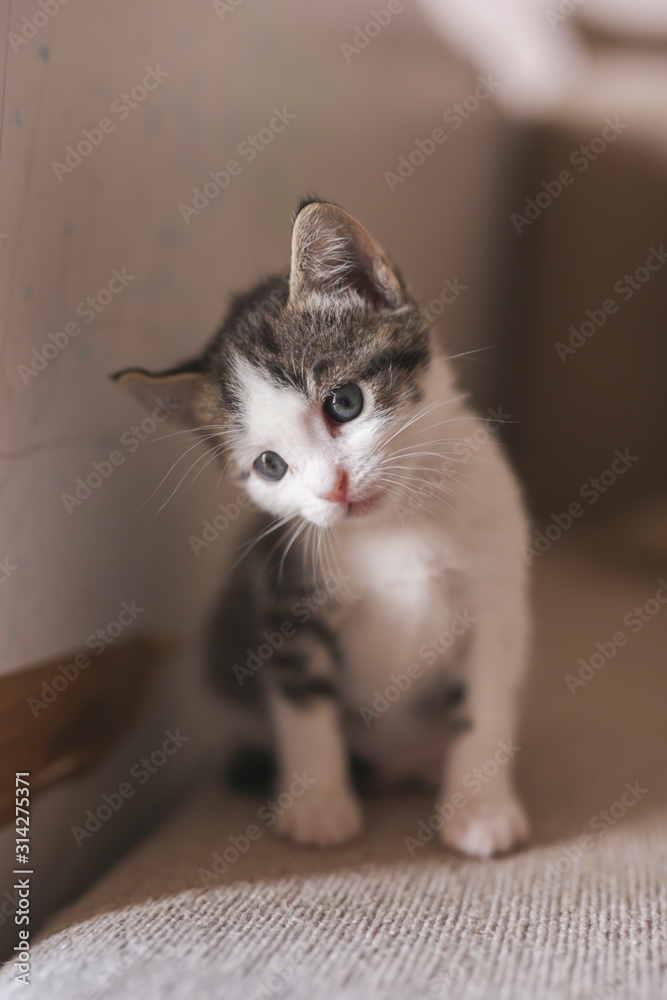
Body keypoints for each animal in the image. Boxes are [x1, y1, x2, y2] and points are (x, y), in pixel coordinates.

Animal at [115, 199, 532, 856]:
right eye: (270, 466)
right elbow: (304, 707)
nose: (331, 488)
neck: (397, 530)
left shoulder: (496, 601)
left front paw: (480, 810)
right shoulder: (283, 598)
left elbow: (484, 706)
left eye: (344, 403)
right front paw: (317, 807)